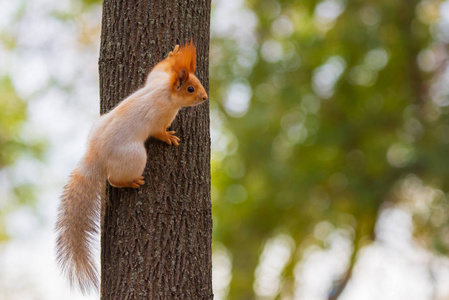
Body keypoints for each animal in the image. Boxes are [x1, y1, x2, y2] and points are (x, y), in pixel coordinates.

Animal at [55, 39, 208, 292]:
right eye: (190, 89)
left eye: (198, 83)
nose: (205, 98)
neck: (165, 92)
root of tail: (96, 155)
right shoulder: (159, 116)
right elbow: (158, 132)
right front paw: (168, 138)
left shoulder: (156, 79)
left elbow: (157, 69)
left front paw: (172, 54)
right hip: (135, 157)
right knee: (112, 179)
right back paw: (131, 182)